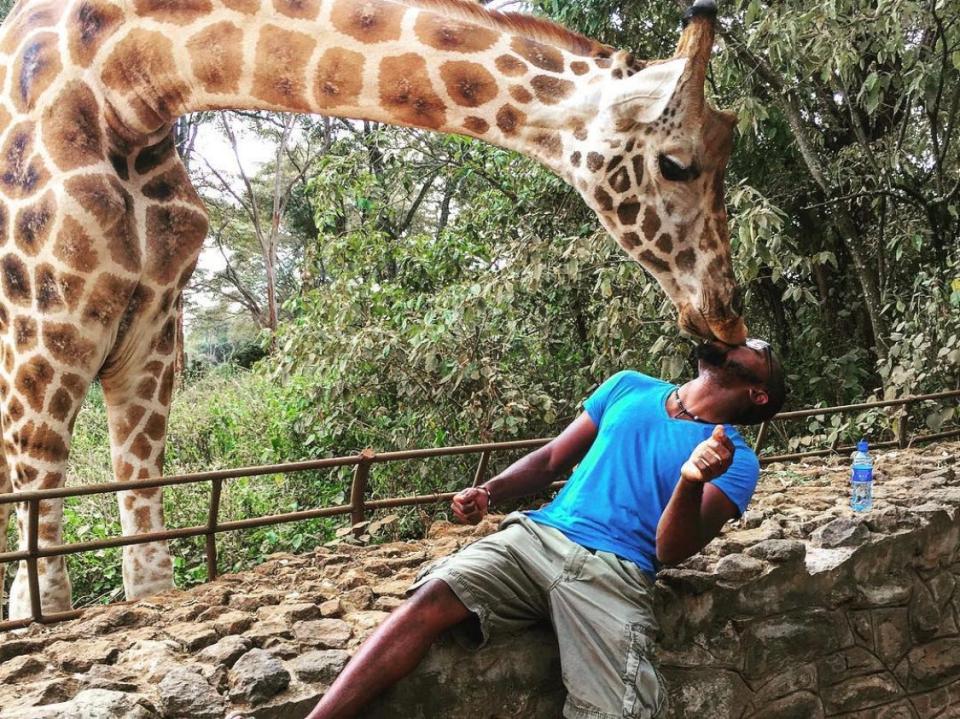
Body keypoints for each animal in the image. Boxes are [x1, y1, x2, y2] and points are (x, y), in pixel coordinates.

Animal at [0, 0, 748, 620]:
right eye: (676, 164)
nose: (725, 313)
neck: (129, 83)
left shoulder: (154, 327)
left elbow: (144, 530)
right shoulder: (44, 323)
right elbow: (40, 521)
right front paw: (37, 617)